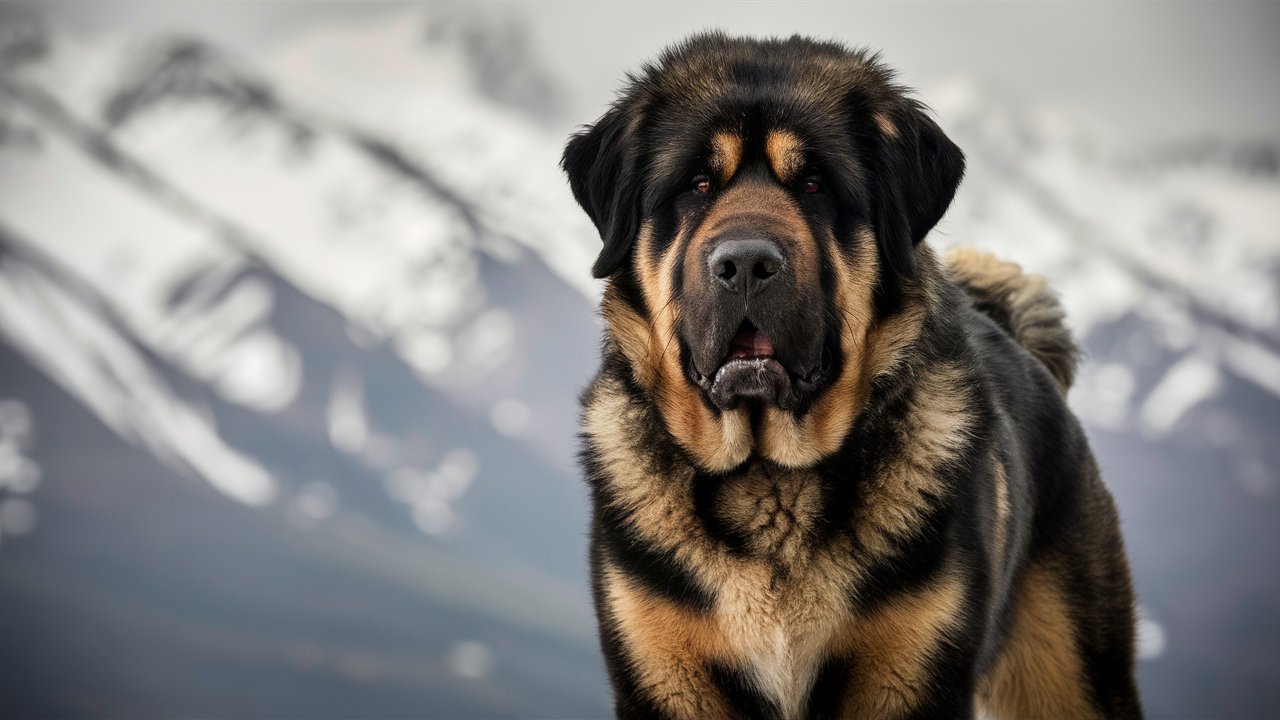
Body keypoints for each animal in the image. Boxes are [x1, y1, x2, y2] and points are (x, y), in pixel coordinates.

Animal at [565, 33, 1146, 717]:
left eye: (815, 184)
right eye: (698, 184)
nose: (745, 262)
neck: (770, 481)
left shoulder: (908, 671)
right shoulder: (668, 672)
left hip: (1069, 670)